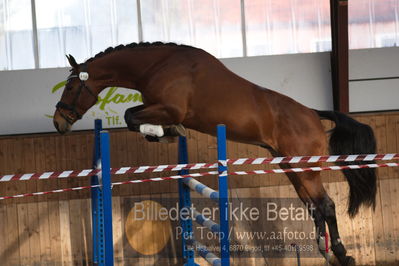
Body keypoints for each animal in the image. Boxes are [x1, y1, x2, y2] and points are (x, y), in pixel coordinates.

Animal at [54, 41, 378, 266]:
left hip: (306, 170)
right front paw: (164, 132)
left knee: (326, 205)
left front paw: (166, 131)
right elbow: (133, 116)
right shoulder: (158, 106)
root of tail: (312, 113)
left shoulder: (169, 108)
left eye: (70, 87)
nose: (59, 123)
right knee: (314, 207)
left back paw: (342, 255)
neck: (157, 65)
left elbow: (130, 115)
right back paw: (326, 252)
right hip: (292, 168)